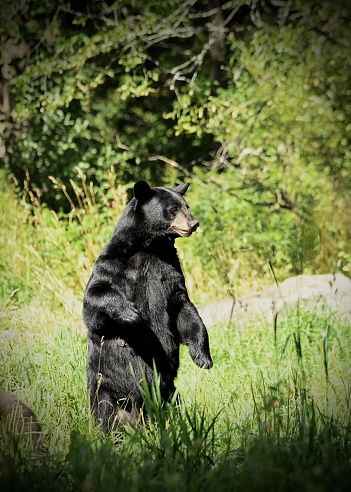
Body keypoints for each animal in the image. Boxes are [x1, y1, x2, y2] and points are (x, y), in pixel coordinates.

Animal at [84, 181, 213, 430]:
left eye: (186, 206)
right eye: (173, 209)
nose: (194, 223)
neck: (150, 246)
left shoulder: (170, 270)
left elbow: (184, 310)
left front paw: (202, 357)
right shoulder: (113, 263)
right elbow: (94, 300)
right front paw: (131, 315)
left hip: (168, 390)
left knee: (173, 404)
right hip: (104, 385)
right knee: (102, 411)